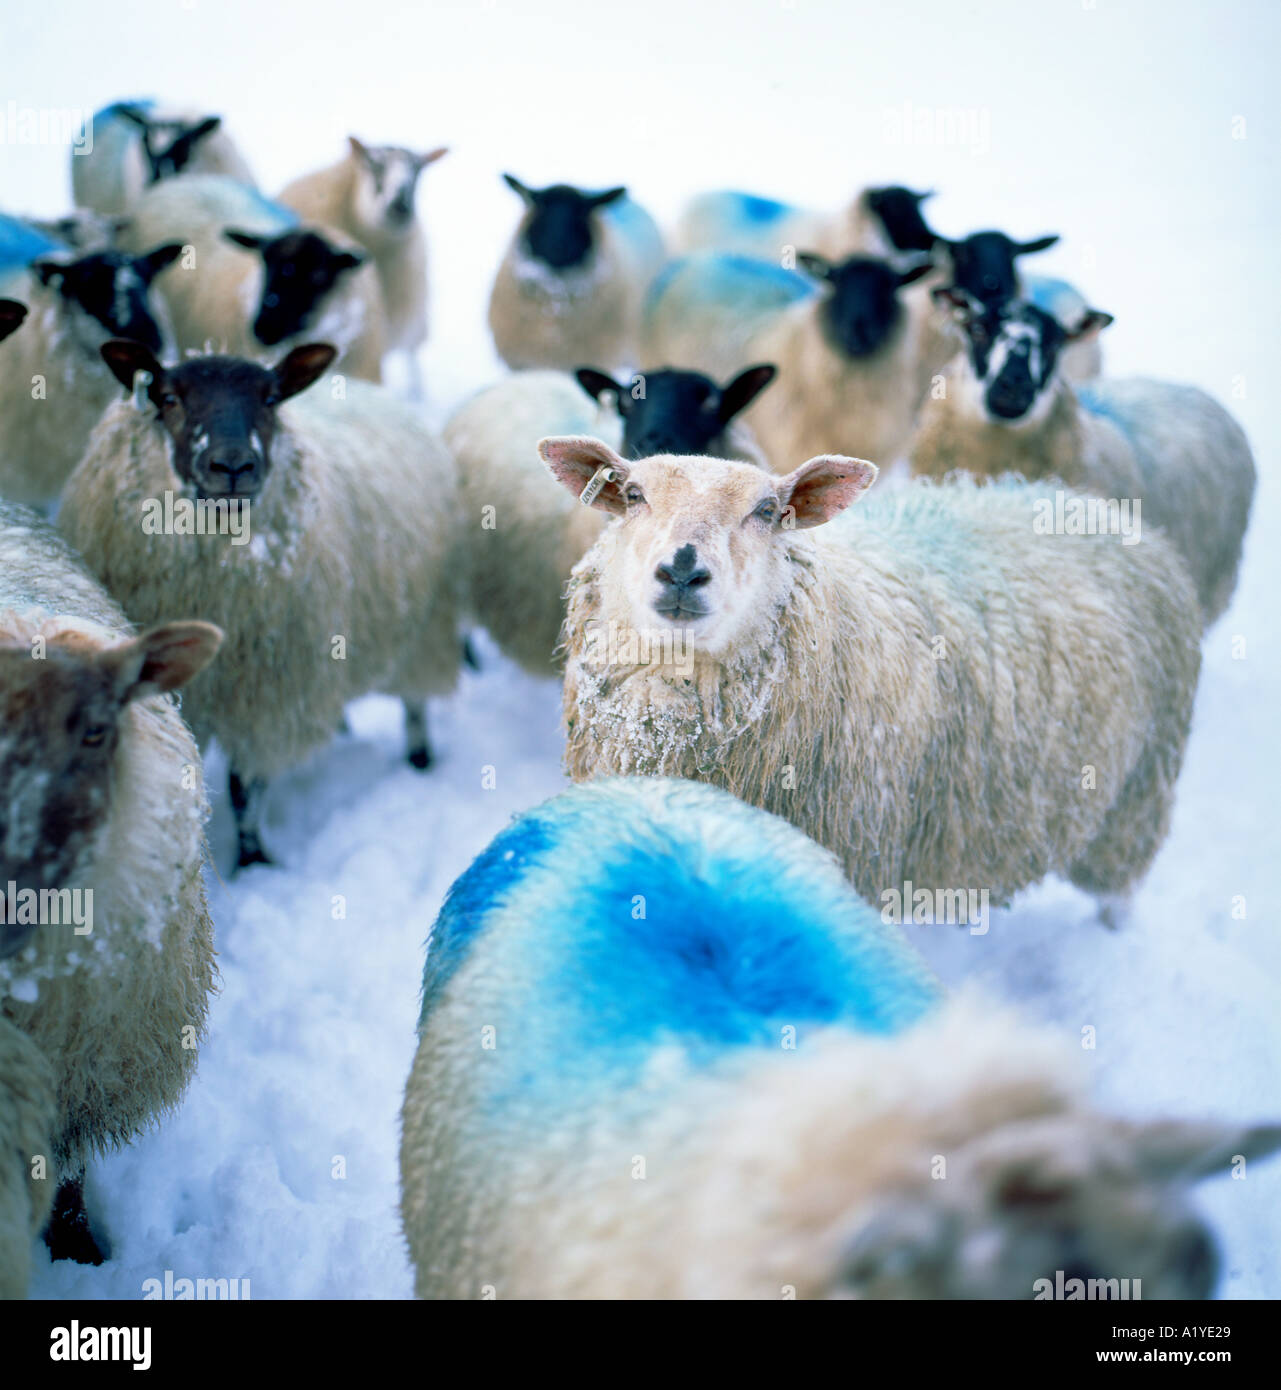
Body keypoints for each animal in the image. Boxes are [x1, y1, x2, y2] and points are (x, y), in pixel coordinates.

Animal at [58, 340, 464, 870]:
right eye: (168, 398)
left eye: (270, 399)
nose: (233, 465)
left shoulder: (267, 696)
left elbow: (245, 790)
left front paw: (253, 861)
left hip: (424, 628)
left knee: (416, 704)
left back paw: (419, 760)